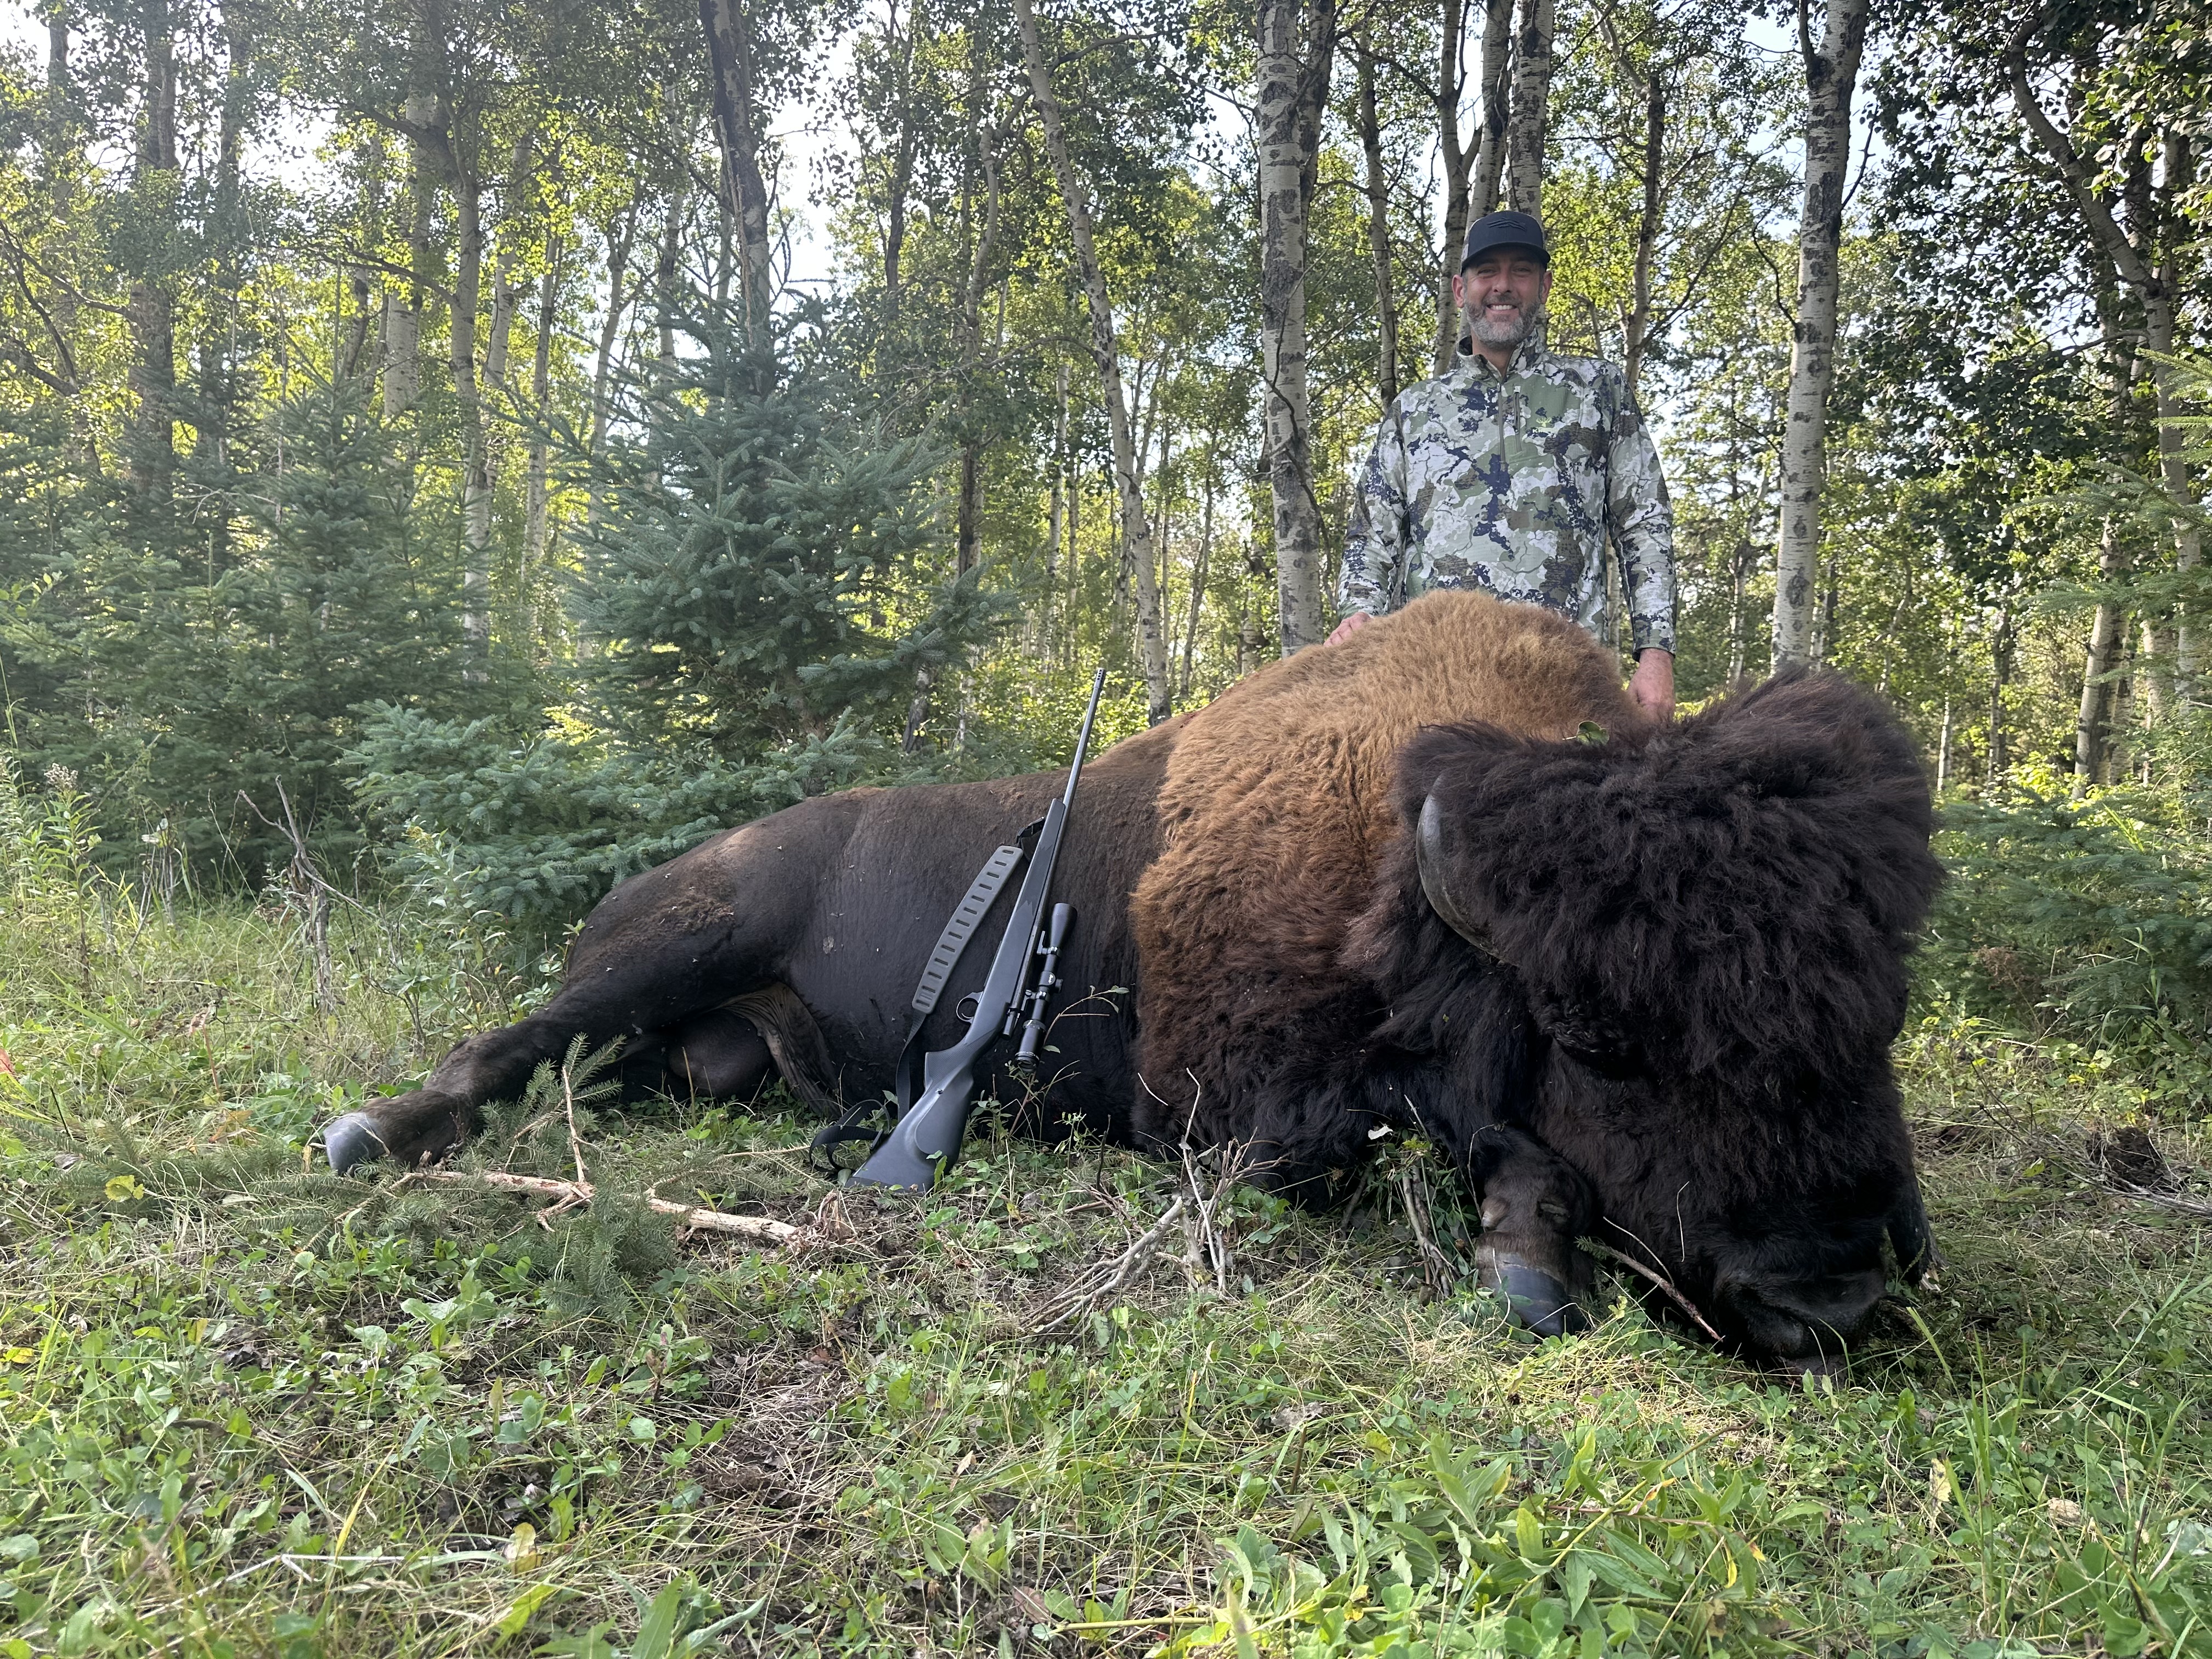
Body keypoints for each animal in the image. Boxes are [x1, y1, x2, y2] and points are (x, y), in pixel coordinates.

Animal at [325, 593, 1943, 1370]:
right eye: (1599, 1038)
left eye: (1880, 1019)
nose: (1825, 1298)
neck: (1394, 863)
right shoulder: (1222, 1110)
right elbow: (1427, 1133)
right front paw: (1526, 1258)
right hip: (670, 943)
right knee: (509, 1043)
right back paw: (376, 1134)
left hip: (706, 1047)